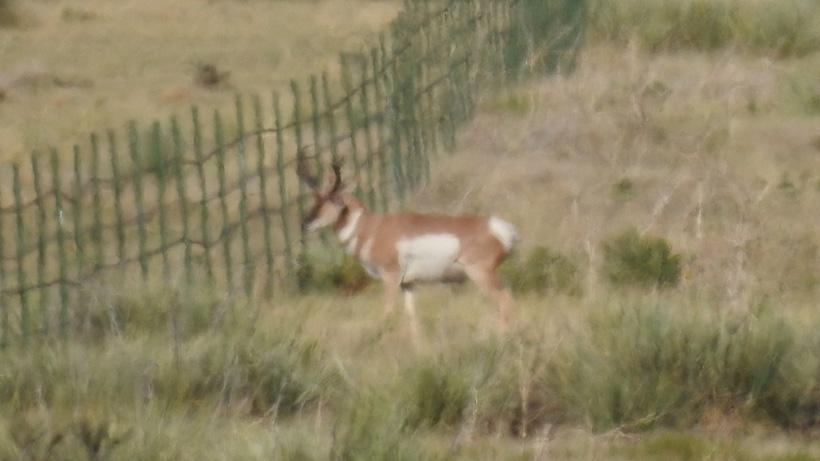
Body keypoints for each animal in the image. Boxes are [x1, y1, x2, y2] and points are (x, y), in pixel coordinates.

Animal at [297, 158, 517, 337]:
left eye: (335, 199)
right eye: (315, 198)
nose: (305, 223)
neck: (373, 228)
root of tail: (498, 227)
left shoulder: (390, 277)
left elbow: (387, 312)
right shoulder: (408, 284)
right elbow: (412, 318)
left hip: (480, 274)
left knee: (505, 300)